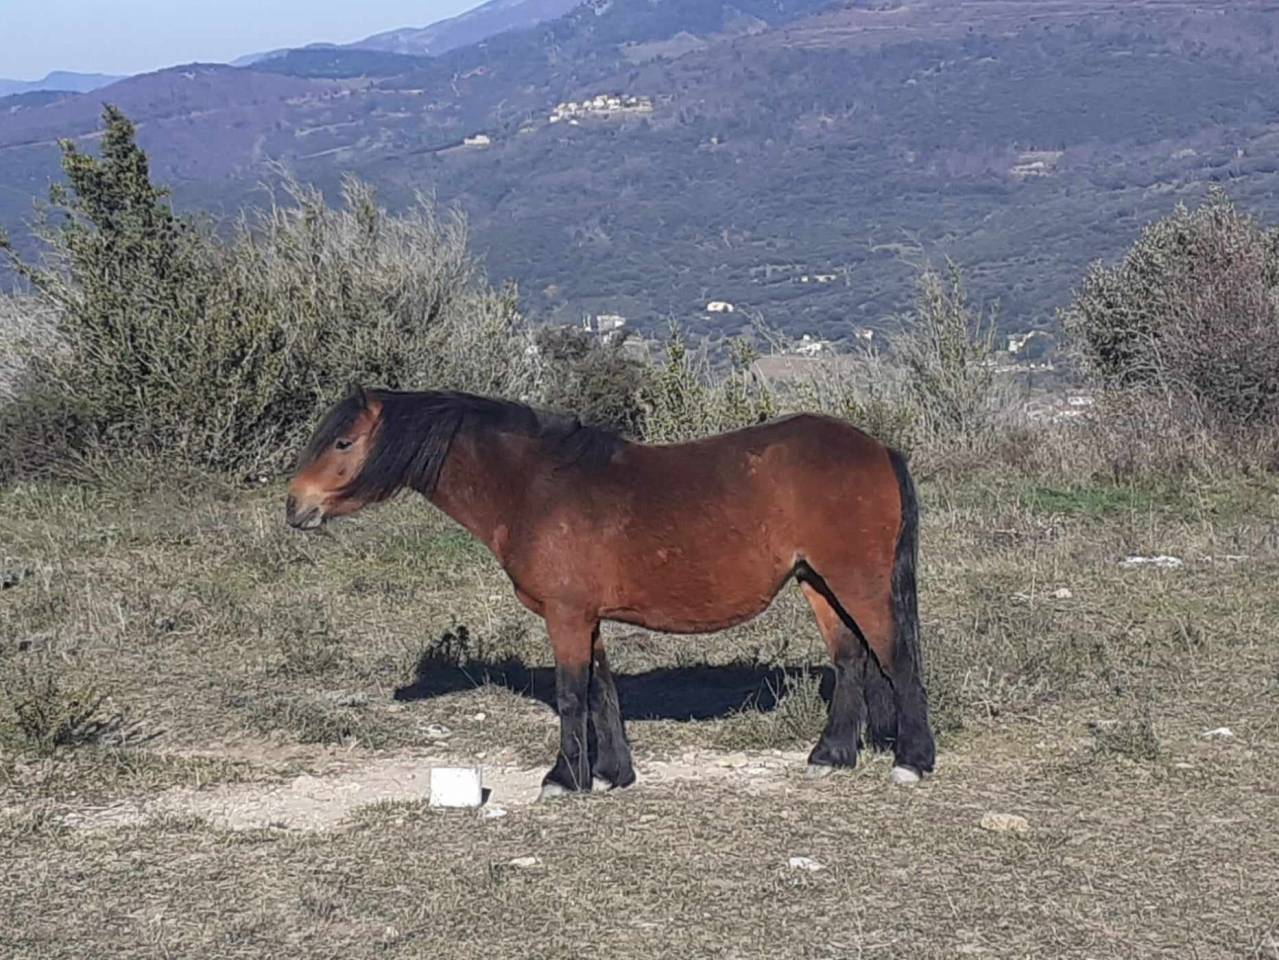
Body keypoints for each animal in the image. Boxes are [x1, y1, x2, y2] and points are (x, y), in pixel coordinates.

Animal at [286, 387, 935, 798]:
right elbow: (601, 690)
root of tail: (878, 449)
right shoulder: (584, 616)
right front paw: (609, 775)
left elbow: (573, 694)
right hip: (817, 582)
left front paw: (562, 779)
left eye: (342, 443)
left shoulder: (565, 616)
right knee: (850, 659)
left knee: (896, 658)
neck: (534, 486)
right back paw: (830, 757)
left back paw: (912, 761)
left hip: (857, 581)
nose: (295, 506)